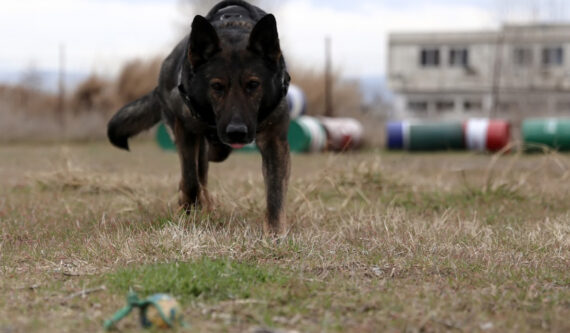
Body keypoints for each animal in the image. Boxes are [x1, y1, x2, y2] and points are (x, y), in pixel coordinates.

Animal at [107, 0, 290, 233]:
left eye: (253, 85)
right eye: (217, 86)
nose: (237, 133)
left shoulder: (274, 141)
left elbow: (275, 194)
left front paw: (275, 234)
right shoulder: (185, 130)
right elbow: (190, 180)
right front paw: (188, 211)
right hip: (196, 142)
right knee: (197, 175)